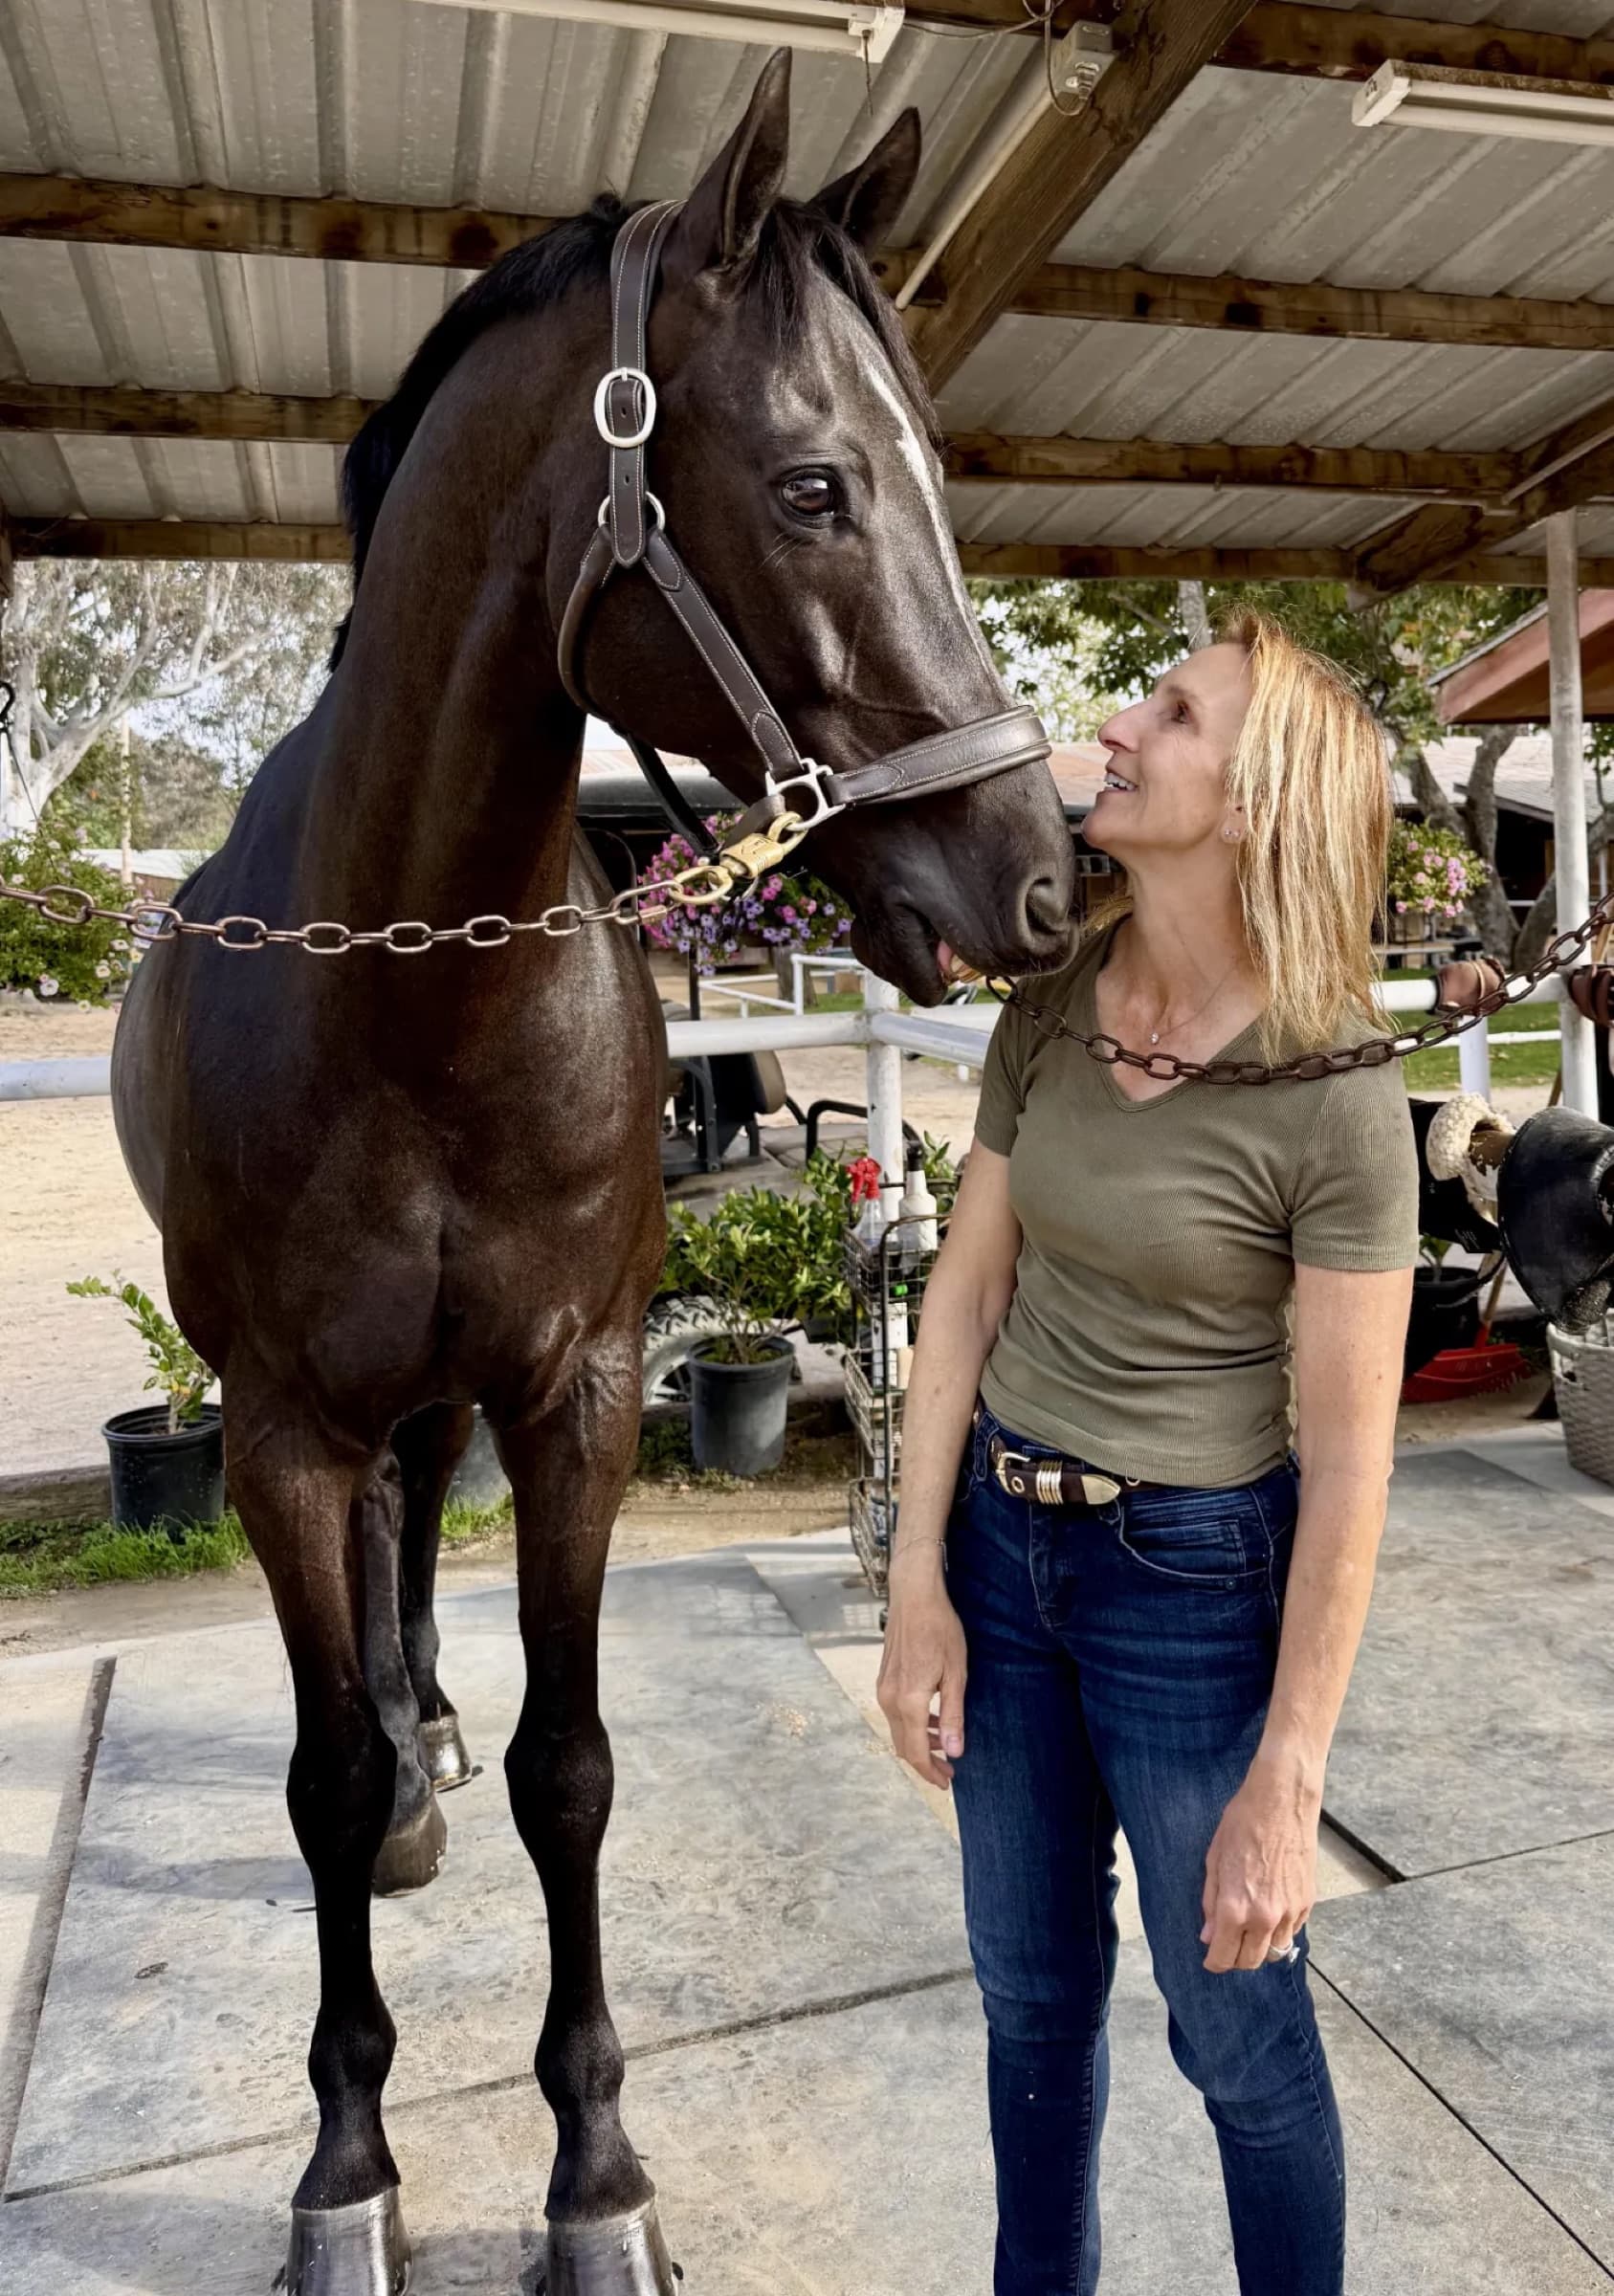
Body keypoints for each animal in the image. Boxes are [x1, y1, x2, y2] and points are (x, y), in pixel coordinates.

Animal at [110, 52, 1075, 2296]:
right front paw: (348, 2172)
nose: (1039, 880)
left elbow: (573, 1769)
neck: (410, 986)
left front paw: (598, 2177)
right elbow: (315, 1776)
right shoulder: (276, 1429)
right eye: (813, 489)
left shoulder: (576, 1396)